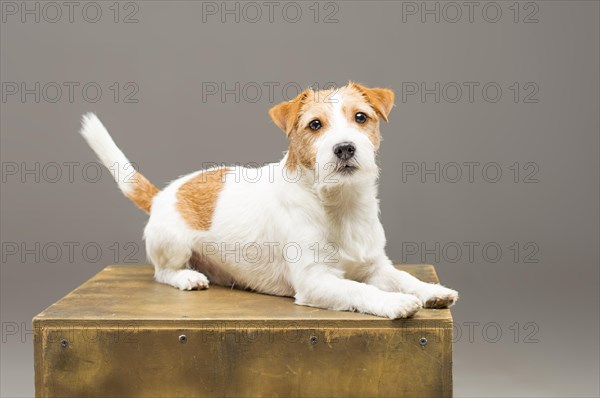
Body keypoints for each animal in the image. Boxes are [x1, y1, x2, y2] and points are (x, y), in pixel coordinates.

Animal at [78, 82, 454, 318]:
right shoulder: (315, 281)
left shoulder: (376, 266)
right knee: (162, 273)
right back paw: (187, 278)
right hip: (173, 244)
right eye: (315, 125)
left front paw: (429, 290)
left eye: (361, 117)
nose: (345, 148)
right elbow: (362, 291)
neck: (338, 203)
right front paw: (396, 303)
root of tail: (162, 194)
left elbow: (403, 278)